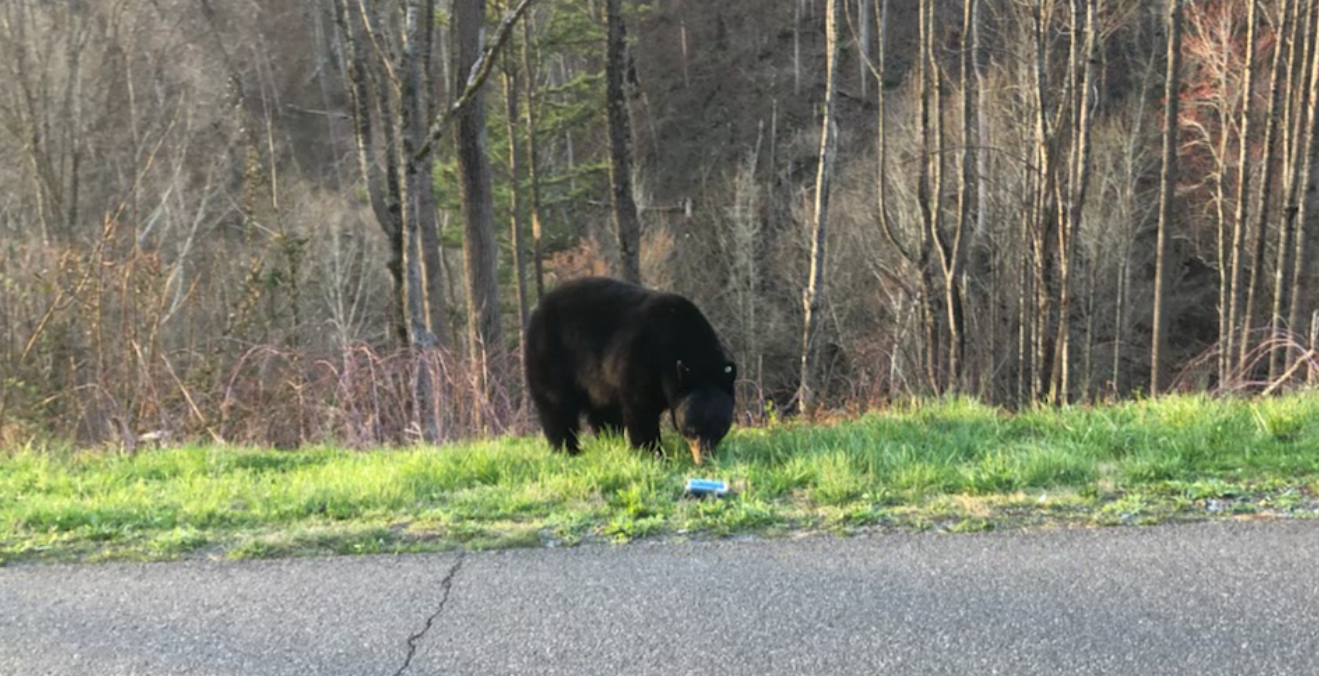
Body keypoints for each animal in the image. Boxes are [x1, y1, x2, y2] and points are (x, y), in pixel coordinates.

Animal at [522, 276, 733, 461]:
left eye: (720, 429)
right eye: (692, 429)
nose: (705, 460)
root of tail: (538, 307)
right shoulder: (642, 360)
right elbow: (641, 408)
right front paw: (652, 453)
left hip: (595, 383)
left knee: (602, 411)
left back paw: (609, 438)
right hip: (552, 357)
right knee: (557, 405)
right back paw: (568, 449)